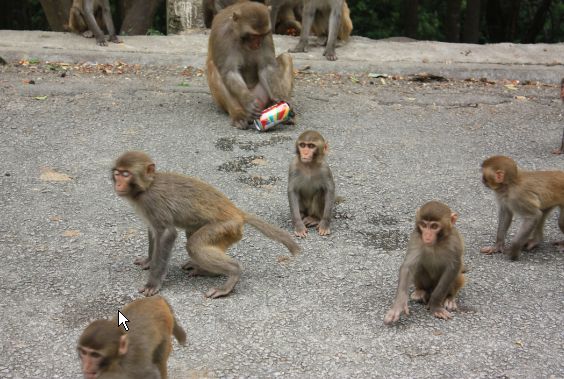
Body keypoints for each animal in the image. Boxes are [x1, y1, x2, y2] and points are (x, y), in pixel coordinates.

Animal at [112, 150, 302, 298]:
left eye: (126, 174)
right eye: (118, 173)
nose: (118, 183)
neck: (146, 187)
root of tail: (237, 213)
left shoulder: (152, 202)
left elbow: (166, 234)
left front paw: (153, 283)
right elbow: (153, 231)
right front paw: (148, 261)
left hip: (226, 227)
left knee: (194, 245)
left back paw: (232, 274)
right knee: (192, 231)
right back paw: (209, 270)